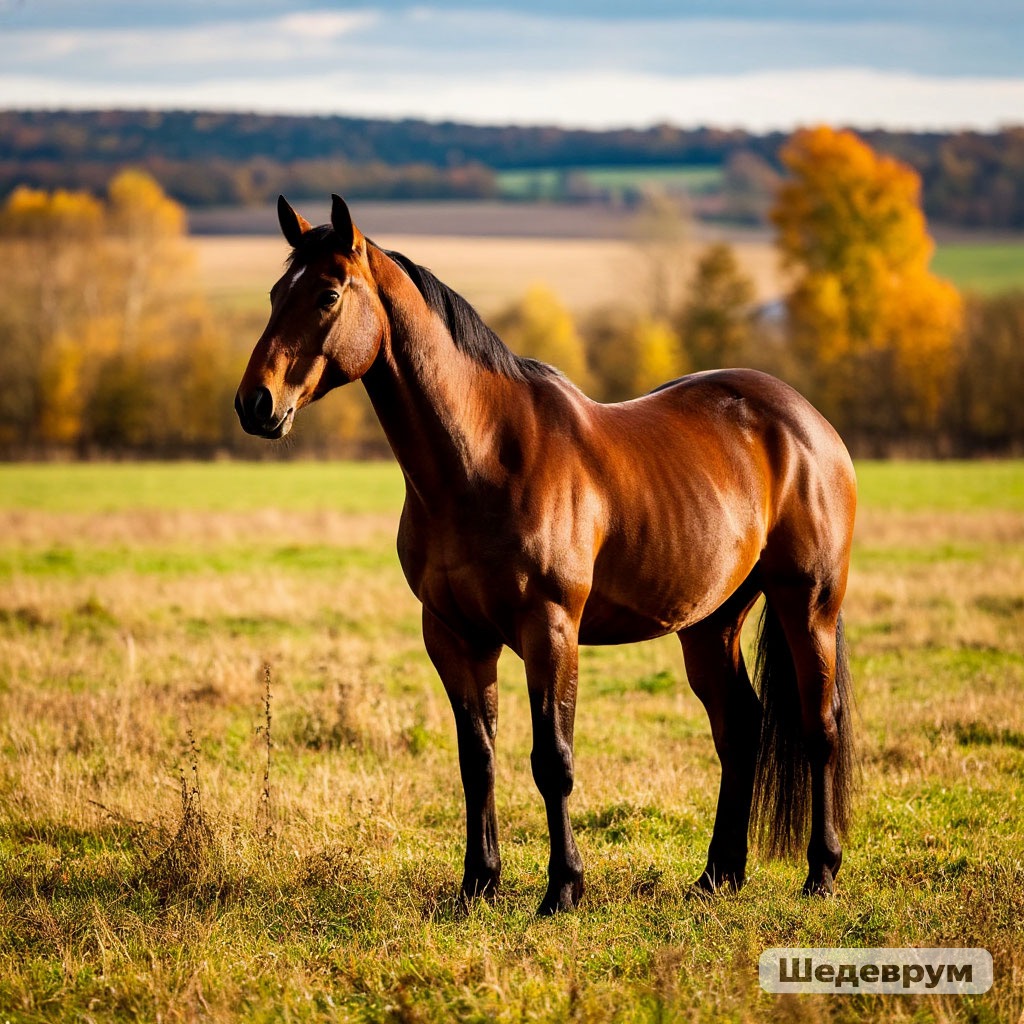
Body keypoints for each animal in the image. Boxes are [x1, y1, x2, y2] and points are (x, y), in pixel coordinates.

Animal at [235, 195, 857, 915]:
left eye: (329, 294)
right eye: (276, 292)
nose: (255, 403)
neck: (481, 458)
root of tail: (807, 423)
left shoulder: (550, 628)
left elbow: (551, 759)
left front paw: (563, 887)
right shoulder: (454, 636)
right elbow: (476, 759)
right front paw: (478, 883)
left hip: (807, 604)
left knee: (819, 728)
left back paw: (821, 873)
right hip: (711, 622)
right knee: (740, 728)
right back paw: (718, 875)